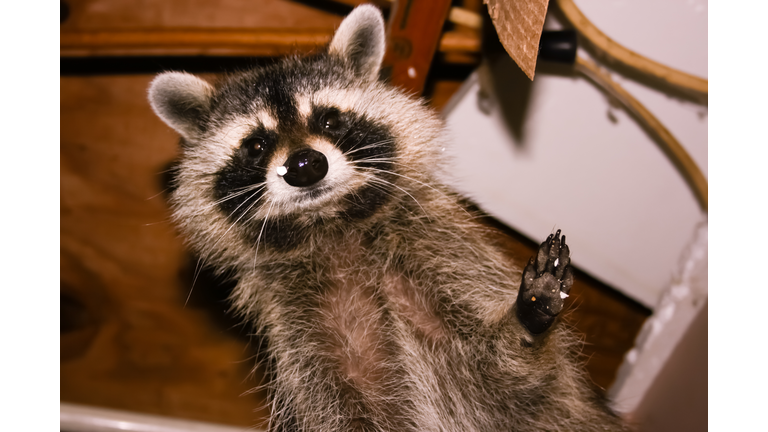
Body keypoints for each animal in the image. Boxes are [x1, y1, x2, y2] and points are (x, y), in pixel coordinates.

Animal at [148, 5, 629, 431]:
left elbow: (515, 379)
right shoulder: (300, 331)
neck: (332, 229)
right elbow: (334, 410)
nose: (305, 166)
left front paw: (527, 322)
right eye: (256, 145)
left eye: (329, 119)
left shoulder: (444, 258)